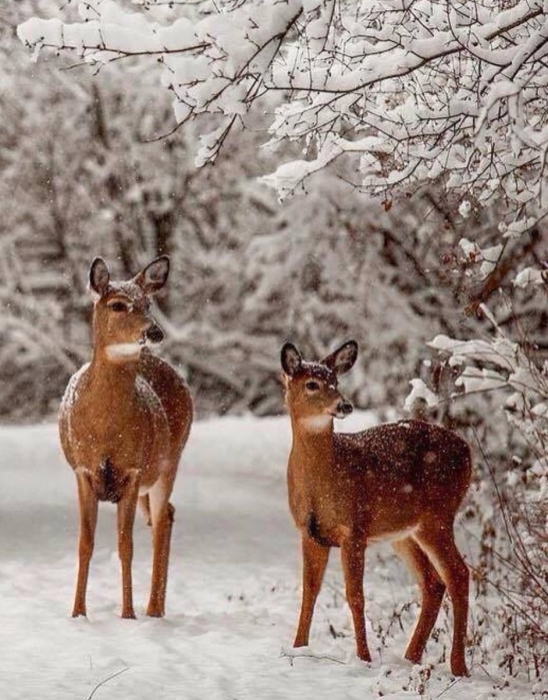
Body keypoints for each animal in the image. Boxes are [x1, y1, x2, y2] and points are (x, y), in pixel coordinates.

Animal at [58, 258, 193, 616]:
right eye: (118, 304)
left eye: (148, 304)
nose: (154, 331)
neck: (105, 428)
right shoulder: (83, 470)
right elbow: (85, 543)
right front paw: (78, 613)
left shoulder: (132, 470)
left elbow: (126, 545)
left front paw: (128, 614)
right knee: (168, 514)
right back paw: (155, 606)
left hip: (168, 463)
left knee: (161, 521)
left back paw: (153, 610)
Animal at [280, 340, 474, 680]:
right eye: (312, 384)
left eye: (336, 381)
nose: (344, 405)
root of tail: (468, 452)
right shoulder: (309, 533)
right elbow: (309, 591)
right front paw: (298, 649)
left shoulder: (354, 528)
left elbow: (355, 596)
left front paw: (364, 658)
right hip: (404, 532)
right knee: (433, 582)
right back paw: (410, 658)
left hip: (438, 515)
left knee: (459, 574)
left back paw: (458, 666)